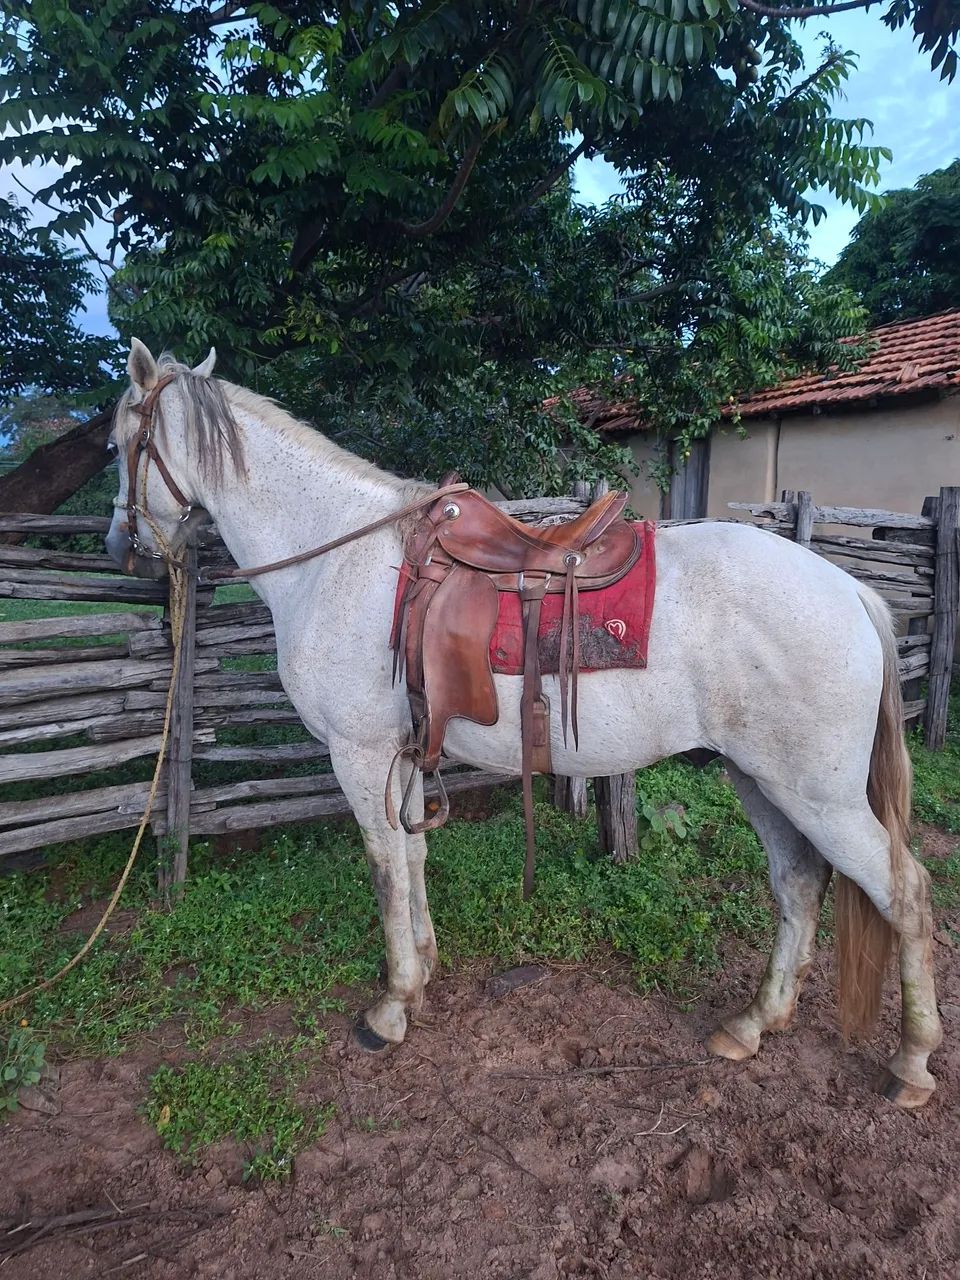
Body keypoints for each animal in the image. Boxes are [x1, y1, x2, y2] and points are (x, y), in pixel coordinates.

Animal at [105, 339, 942, 1109]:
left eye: (119, 444)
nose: (122, 545)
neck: (336, 557)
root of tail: (851, 592)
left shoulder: (358, 753)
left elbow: (384, 868)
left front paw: (391, 1007)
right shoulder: (401, 754)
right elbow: (412, 858)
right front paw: (424, 969)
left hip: (817, 795)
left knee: (905, 892)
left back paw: (911, 1063)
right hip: (759, 778)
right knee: (797, 883)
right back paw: (755, 1023)